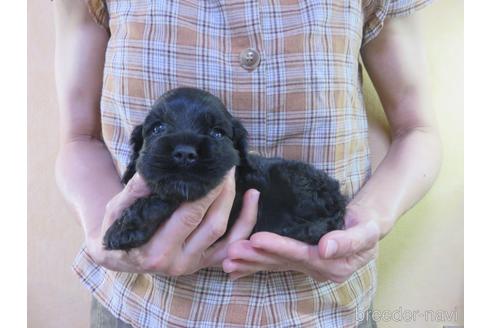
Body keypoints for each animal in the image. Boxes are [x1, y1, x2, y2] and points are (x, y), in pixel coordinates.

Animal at [103, 87, 344, 251]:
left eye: (217, 133)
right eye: (157, 128)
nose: (185, 153)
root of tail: (339, 194)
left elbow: (161, 199)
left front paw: (122, 230)